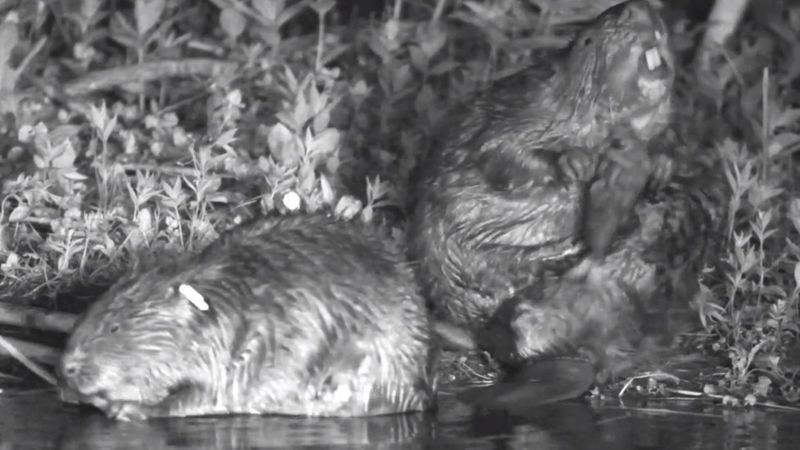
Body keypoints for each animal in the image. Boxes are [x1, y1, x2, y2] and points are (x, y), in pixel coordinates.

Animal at [60, 213, 438, 420]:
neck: (223, 299)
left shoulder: (235, 347)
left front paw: (127, 408)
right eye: (85, 316)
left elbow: (208, 395)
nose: (66, 368)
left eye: (114, 327)